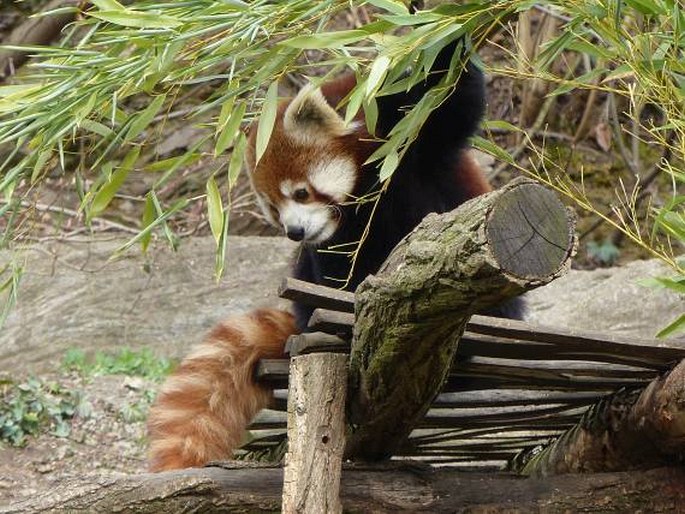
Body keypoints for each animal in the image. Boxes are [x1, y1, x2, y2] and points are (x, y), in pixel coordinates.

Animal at [144, 40, 520, 470]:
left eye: (301, 192)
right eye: (273, 207)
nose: (293, 231)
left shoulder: (412, 139)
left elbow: (455, 95)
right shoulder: (334, 242)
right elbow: (337, 272)